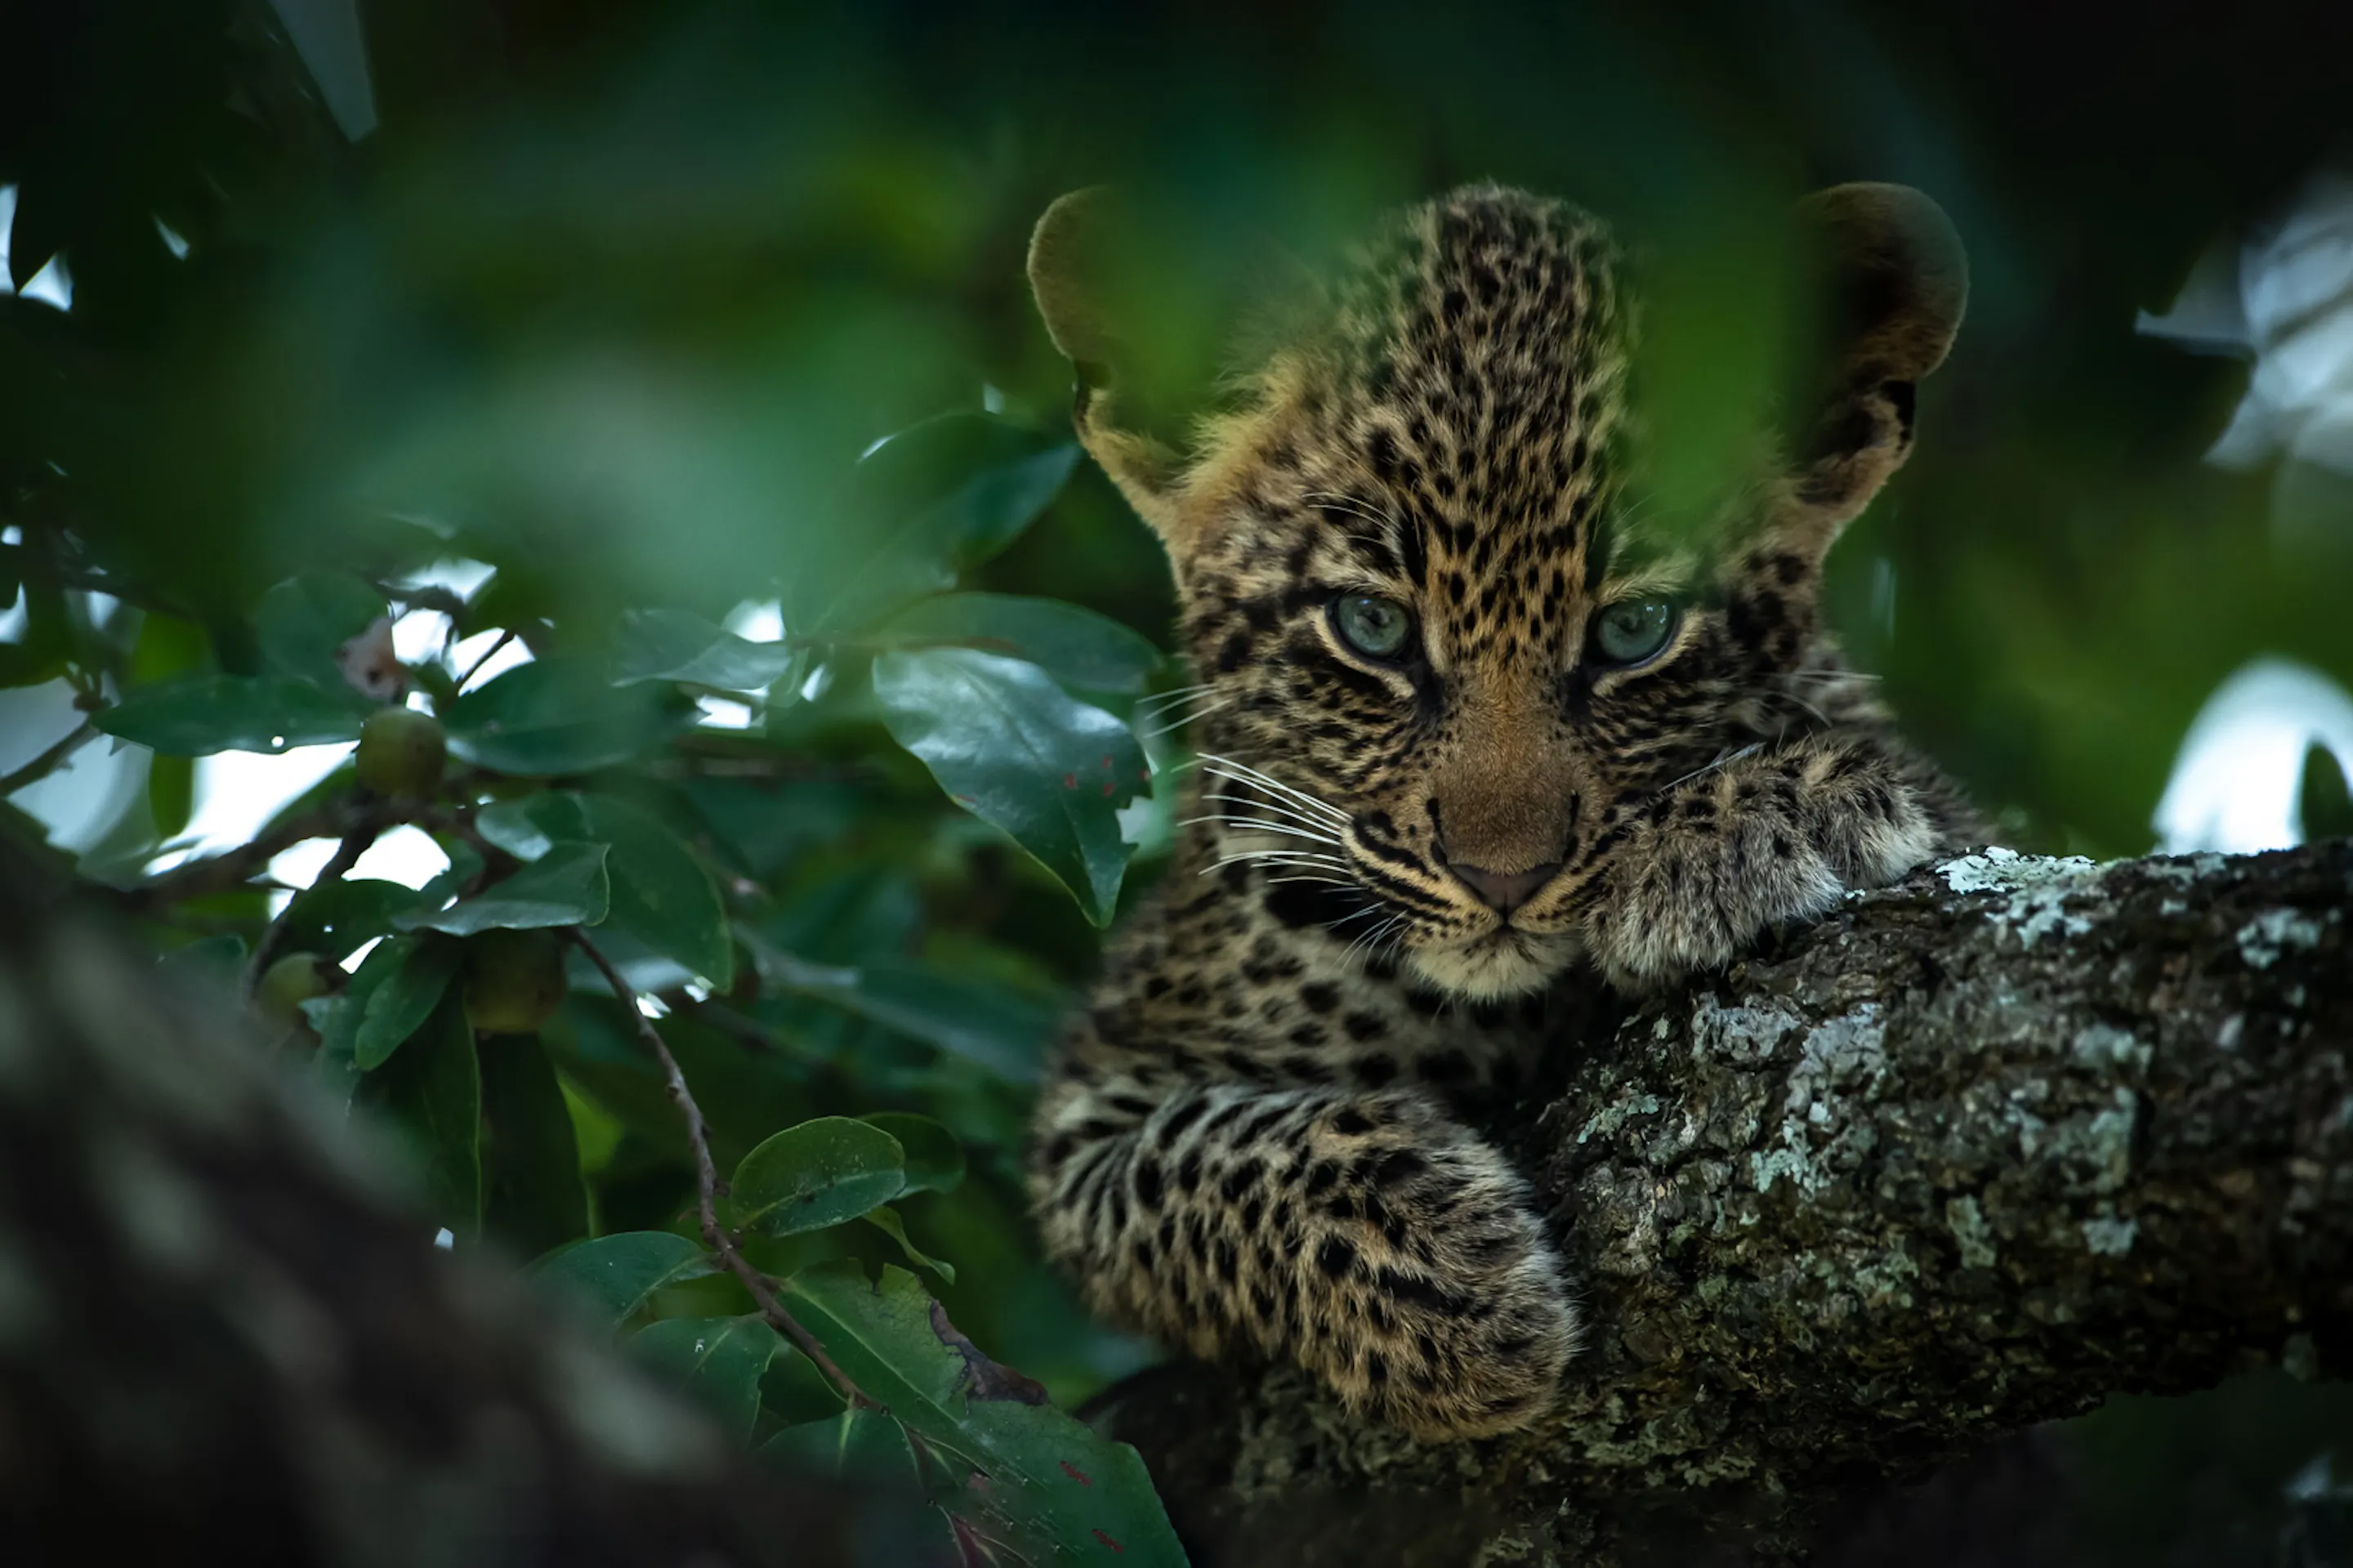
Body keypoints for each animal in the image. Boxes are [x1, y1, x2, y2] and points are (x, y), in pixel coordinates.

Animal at [1022, 180, 1982, 1441]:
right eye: (1371, 626)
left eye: (1635, 630)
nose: (1503, 878)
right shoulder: (1090, 1108)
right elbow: (1209, 1156)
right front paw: (1446, 1289)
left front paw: (1761, 819)